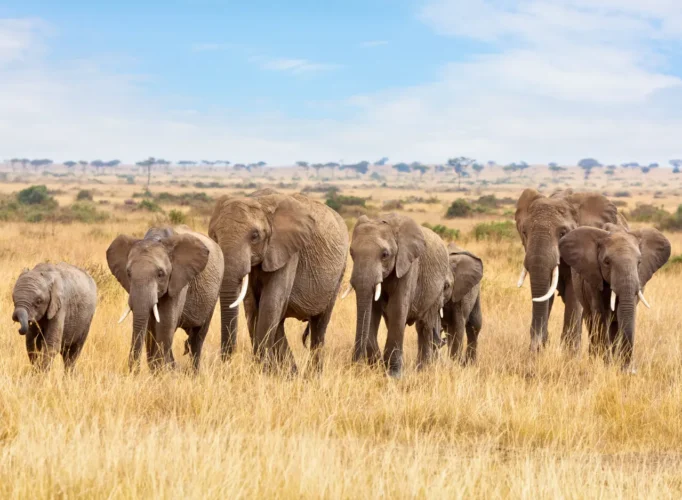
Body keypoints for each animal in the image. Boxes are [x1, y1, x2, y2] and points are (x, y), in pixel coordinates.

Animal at [107, 225, 224, 372]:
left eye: (160, 274)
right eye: (128, 273)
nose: (134, 372)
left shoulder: (178, 279)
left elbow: (165, 324)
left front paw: (162, 372)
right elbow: (150, 328)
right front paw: (159, 371)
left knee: (198, 336)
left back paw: (192, 372)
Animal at [208, 189, 348, 372]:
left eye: (255, 236)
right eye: (214, 236)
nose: (226, 361)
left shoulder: (288, 251)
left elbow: (270, 303)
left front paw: (262, 371)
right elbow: (253, 307)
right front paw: (267, 371)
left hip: (339, 271)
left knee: (319, 325)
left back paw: (311, 375)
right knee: (280, 323)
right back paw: (292, 373)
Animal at [348, 213, 450, 377]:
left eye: (385, 255)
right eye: (351, 253)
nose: (355, 366)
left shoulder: (408, 264)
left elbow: (397, 308)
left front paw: (393, 375)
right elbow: (373, 312)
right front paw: (377, 367)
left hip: (437, 291)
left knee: (425, 326)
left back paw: (423, 370)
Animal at [559, 223, 670, 370]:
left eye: (639, 262)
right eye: (606, 262)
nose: (630, 371)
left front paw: (618, 367)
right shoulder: (593, 279)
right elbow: (601, 317)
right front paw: (606, 366)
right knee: (592, 321)